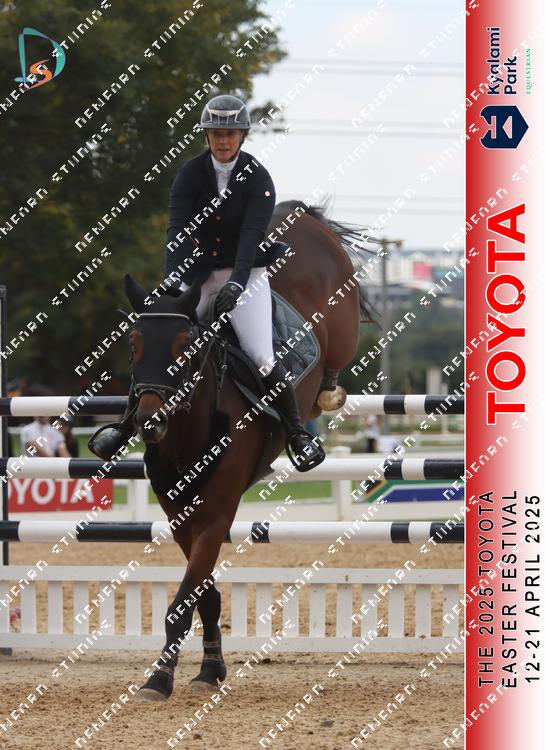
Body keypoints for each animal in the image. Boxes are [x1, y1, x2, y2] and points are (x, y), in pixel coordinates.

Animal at [125, 200, 374, 701]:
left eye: (185, 346)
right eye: (134, 344)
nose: (149, 422)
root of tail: (300, 213)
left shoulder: (217, 511)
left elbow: (184, 600)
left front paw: (161, 677)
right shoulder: (180, 515)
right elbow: (202, 593)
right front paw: (209, 668)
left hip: (340, 325)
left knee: (333, 362)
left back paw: (324, 402)